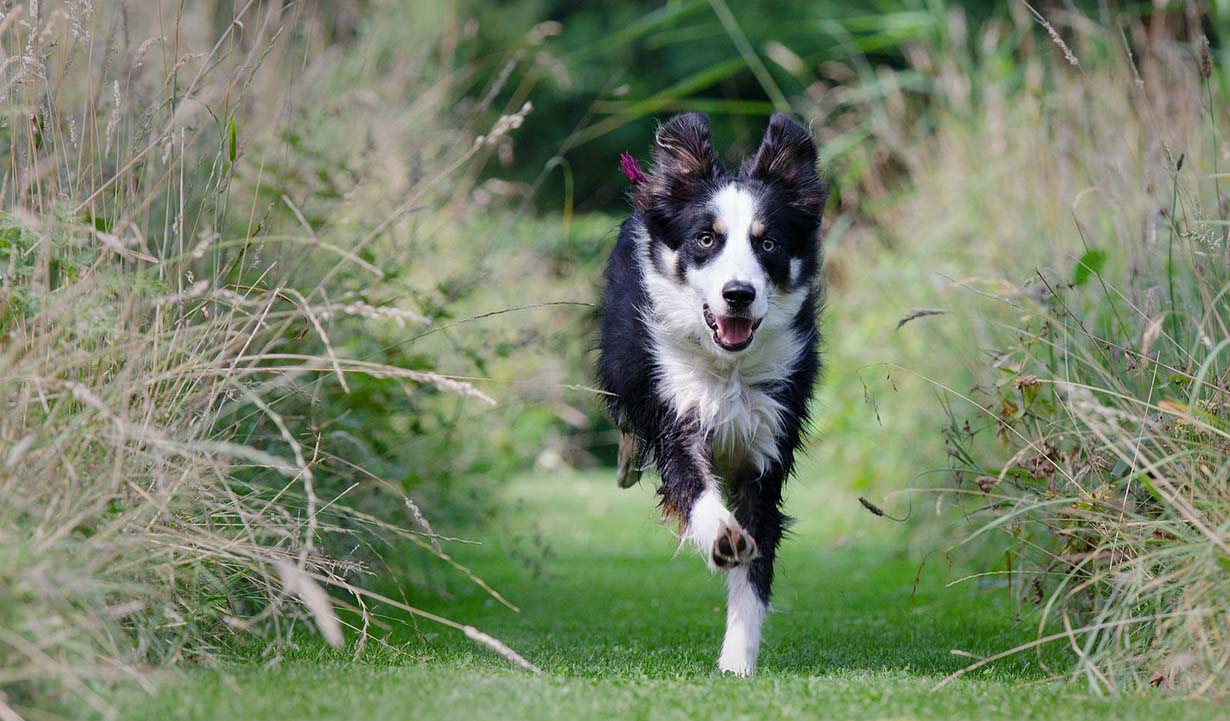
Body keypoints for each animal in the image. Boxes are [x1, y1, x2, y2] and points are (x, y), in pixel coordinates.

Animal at [595, 111, 826, 674]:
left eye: (768, 244)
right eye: (705, 239)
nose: (738, 294)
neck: (728, 370)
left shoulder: (768, 440)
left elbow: (756, 565)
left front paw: (737, 660)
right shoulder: (675, 407)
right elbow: (691, 482)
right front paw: (720, 535)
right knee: (629, 422)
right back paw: (628, 461)